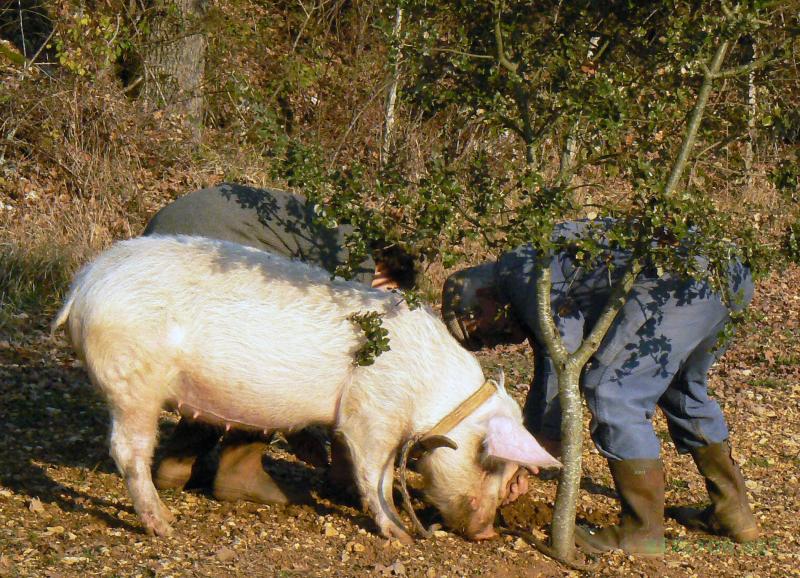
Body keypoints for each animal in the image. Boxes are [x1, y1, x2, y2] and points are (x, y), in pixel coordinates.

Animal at [52, 235, 559, 542]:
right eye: (489, 461)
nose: (487, 532)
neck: (432, 395)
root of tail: (83, 284)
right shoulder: (372, 411)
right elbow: (374, 472)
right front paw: (398, 534)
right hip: (131, 380)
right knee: (126, 450)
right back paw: (166, 526)